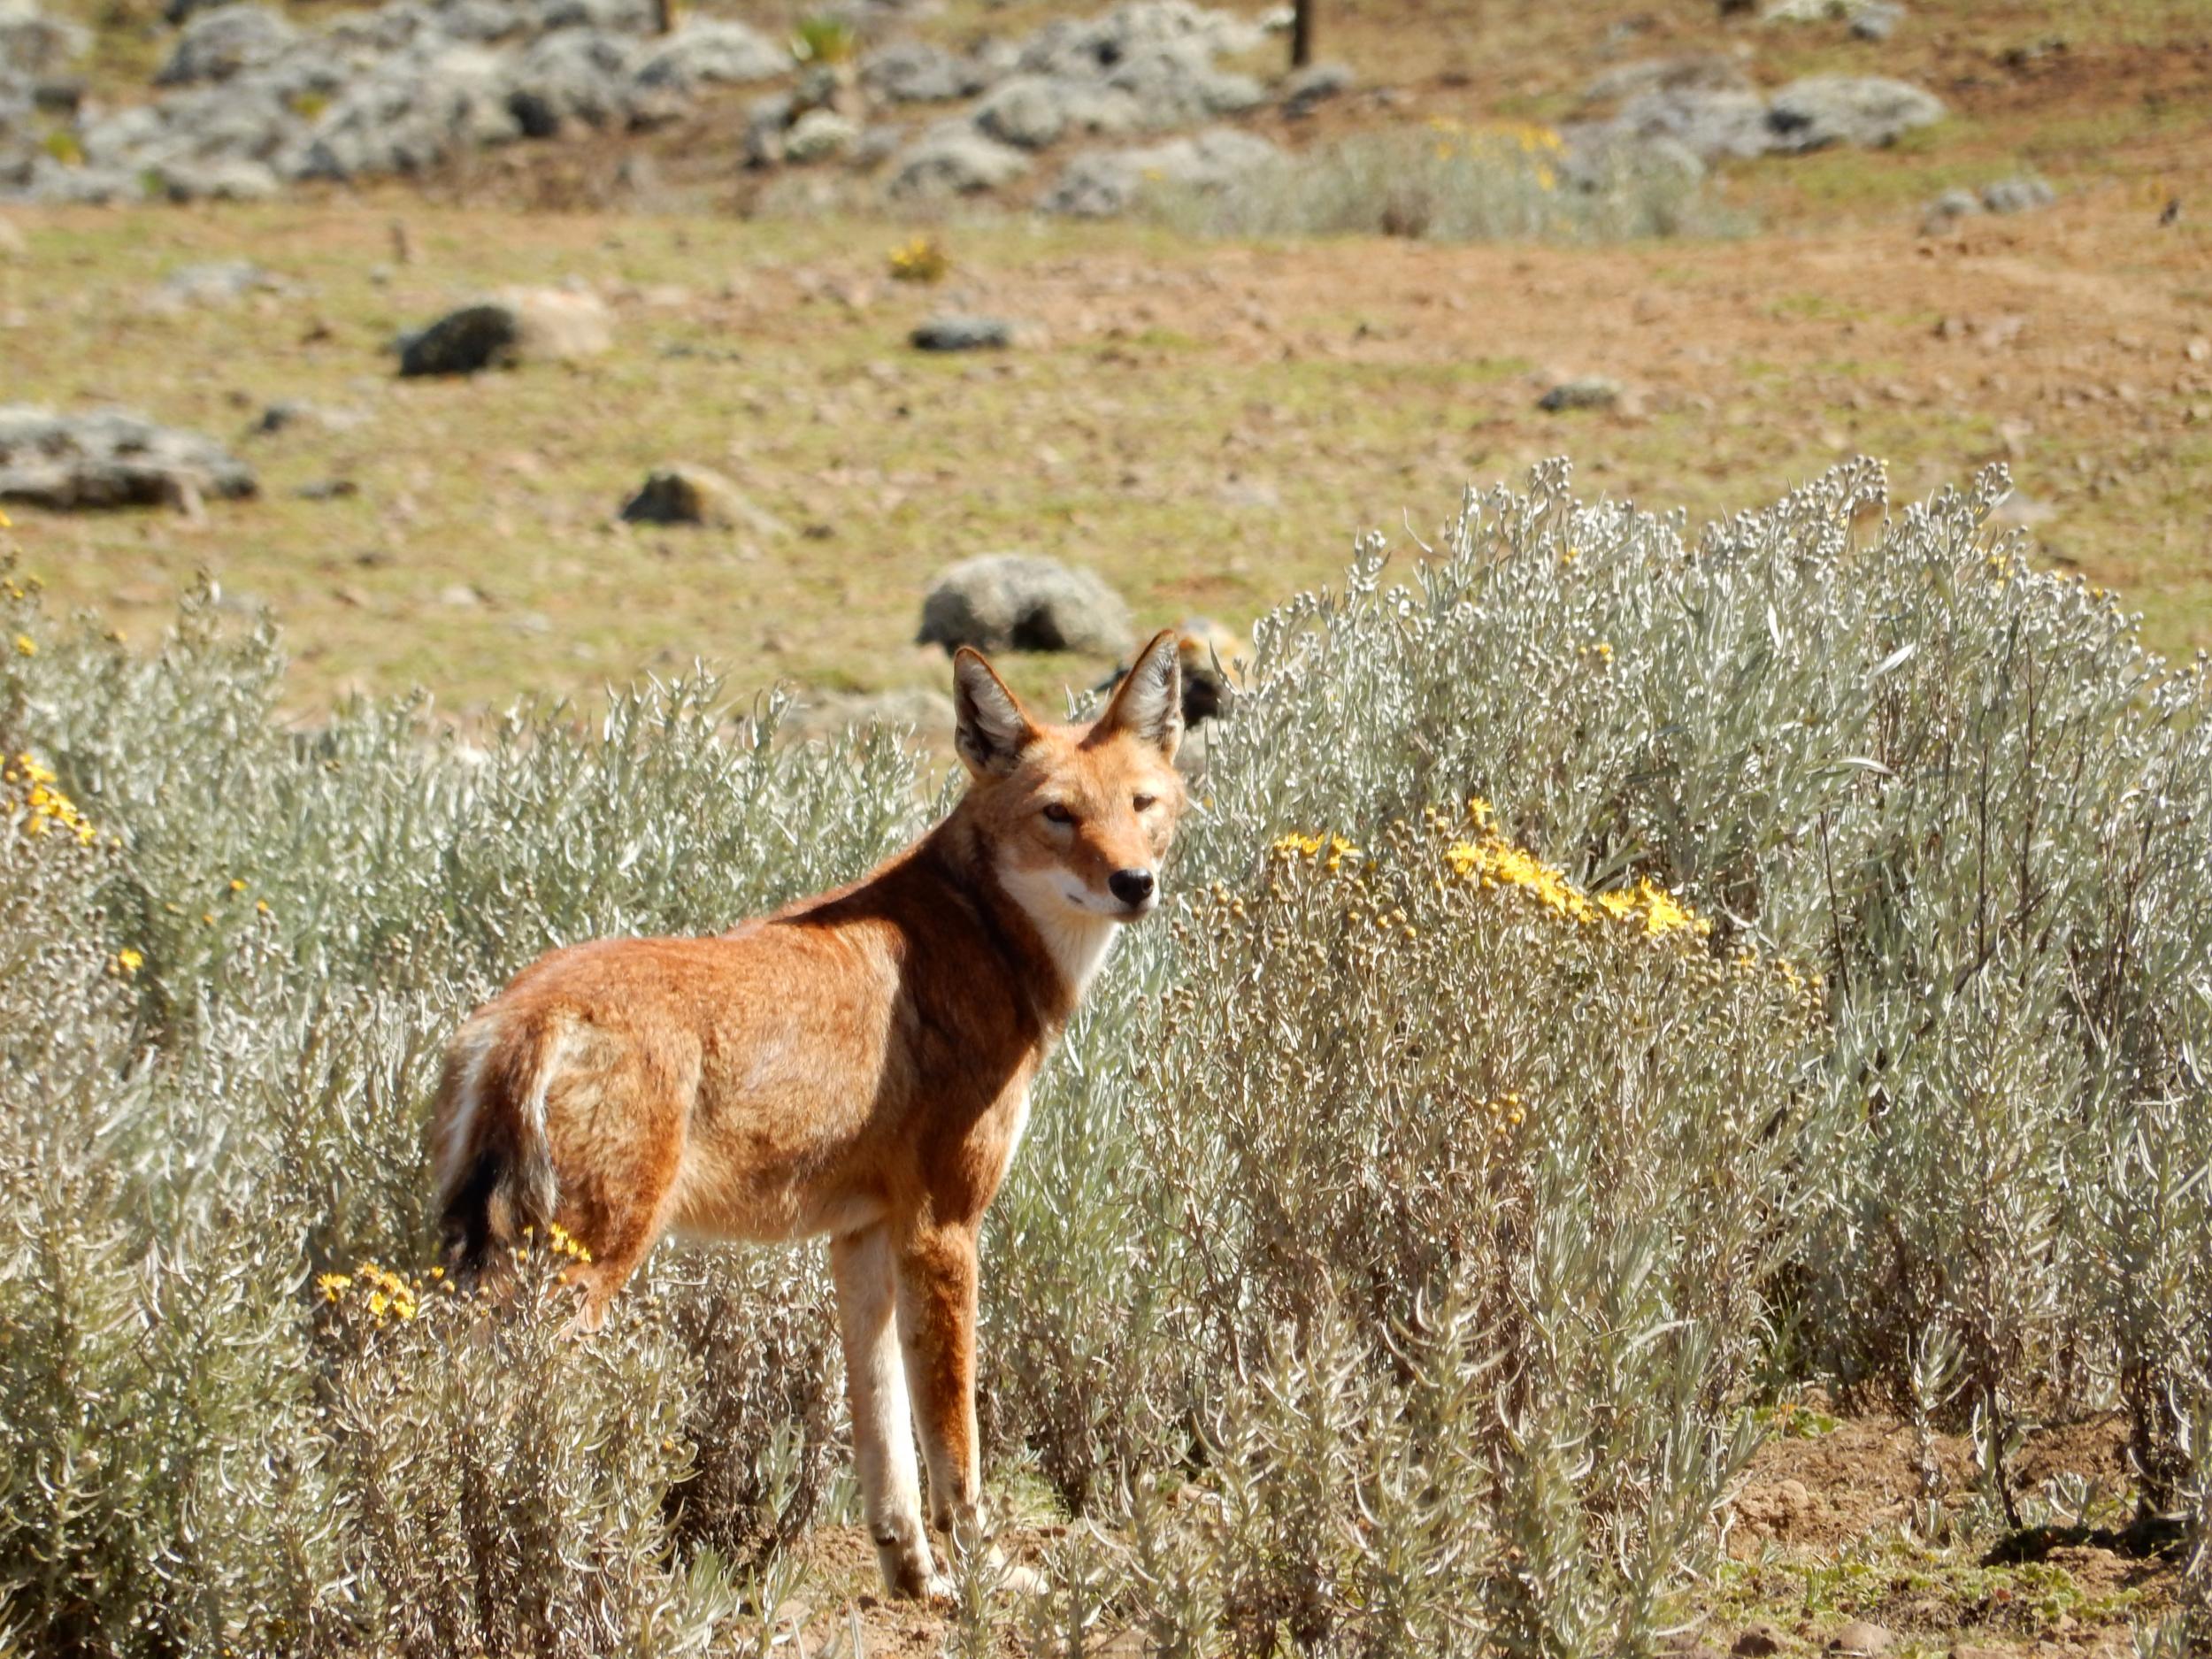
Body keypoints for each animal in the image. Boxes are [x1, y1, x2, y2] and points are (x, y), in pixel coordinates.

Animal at [422, 628, 1186, 1601]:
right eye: (1058, 815)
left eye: (1141, 804)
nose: (1135, 882)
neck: (984, 936)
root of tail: (526, 1012)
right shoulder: (944, 1232)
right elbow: (956, 1446)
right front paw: (986, 1578)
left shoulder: (861, 1240)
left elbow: (884, 1445)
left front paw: (916, 1581)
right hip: (581, 1280)